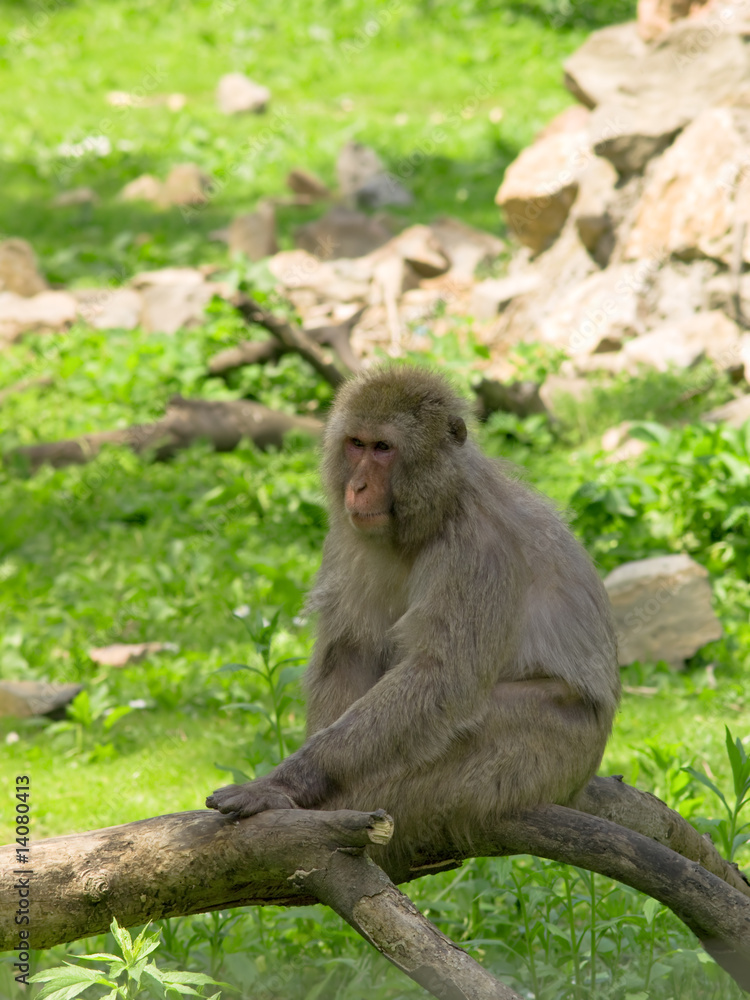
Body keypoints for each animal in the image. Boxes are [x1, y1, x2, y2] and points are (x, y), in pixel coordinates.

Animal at [207, 365, 620, 871]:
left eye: (384, 449)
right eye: (356, 444)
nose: (357, 487)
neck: (435, 511)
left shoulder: (478, 549)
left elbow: (438, 677)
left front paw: (290, 782)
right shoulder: (347, 533)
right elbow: (351, 648)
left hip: (554, 743)